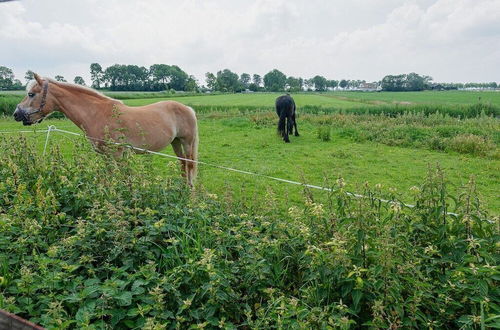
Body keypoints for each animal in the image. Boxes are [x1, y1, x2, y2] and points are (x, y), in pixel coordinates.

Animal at [13, 73, 199, 186]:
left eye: (31, 94)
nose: (16, 114)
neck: (97, 113)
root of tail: (187, 108)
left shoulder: (117, 154)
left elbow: (124, 178)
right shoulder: (105, 155)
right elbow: (109, 178)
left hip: (187, 142)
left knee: (189, 165)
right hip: (175, 142)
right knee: (182, 164)